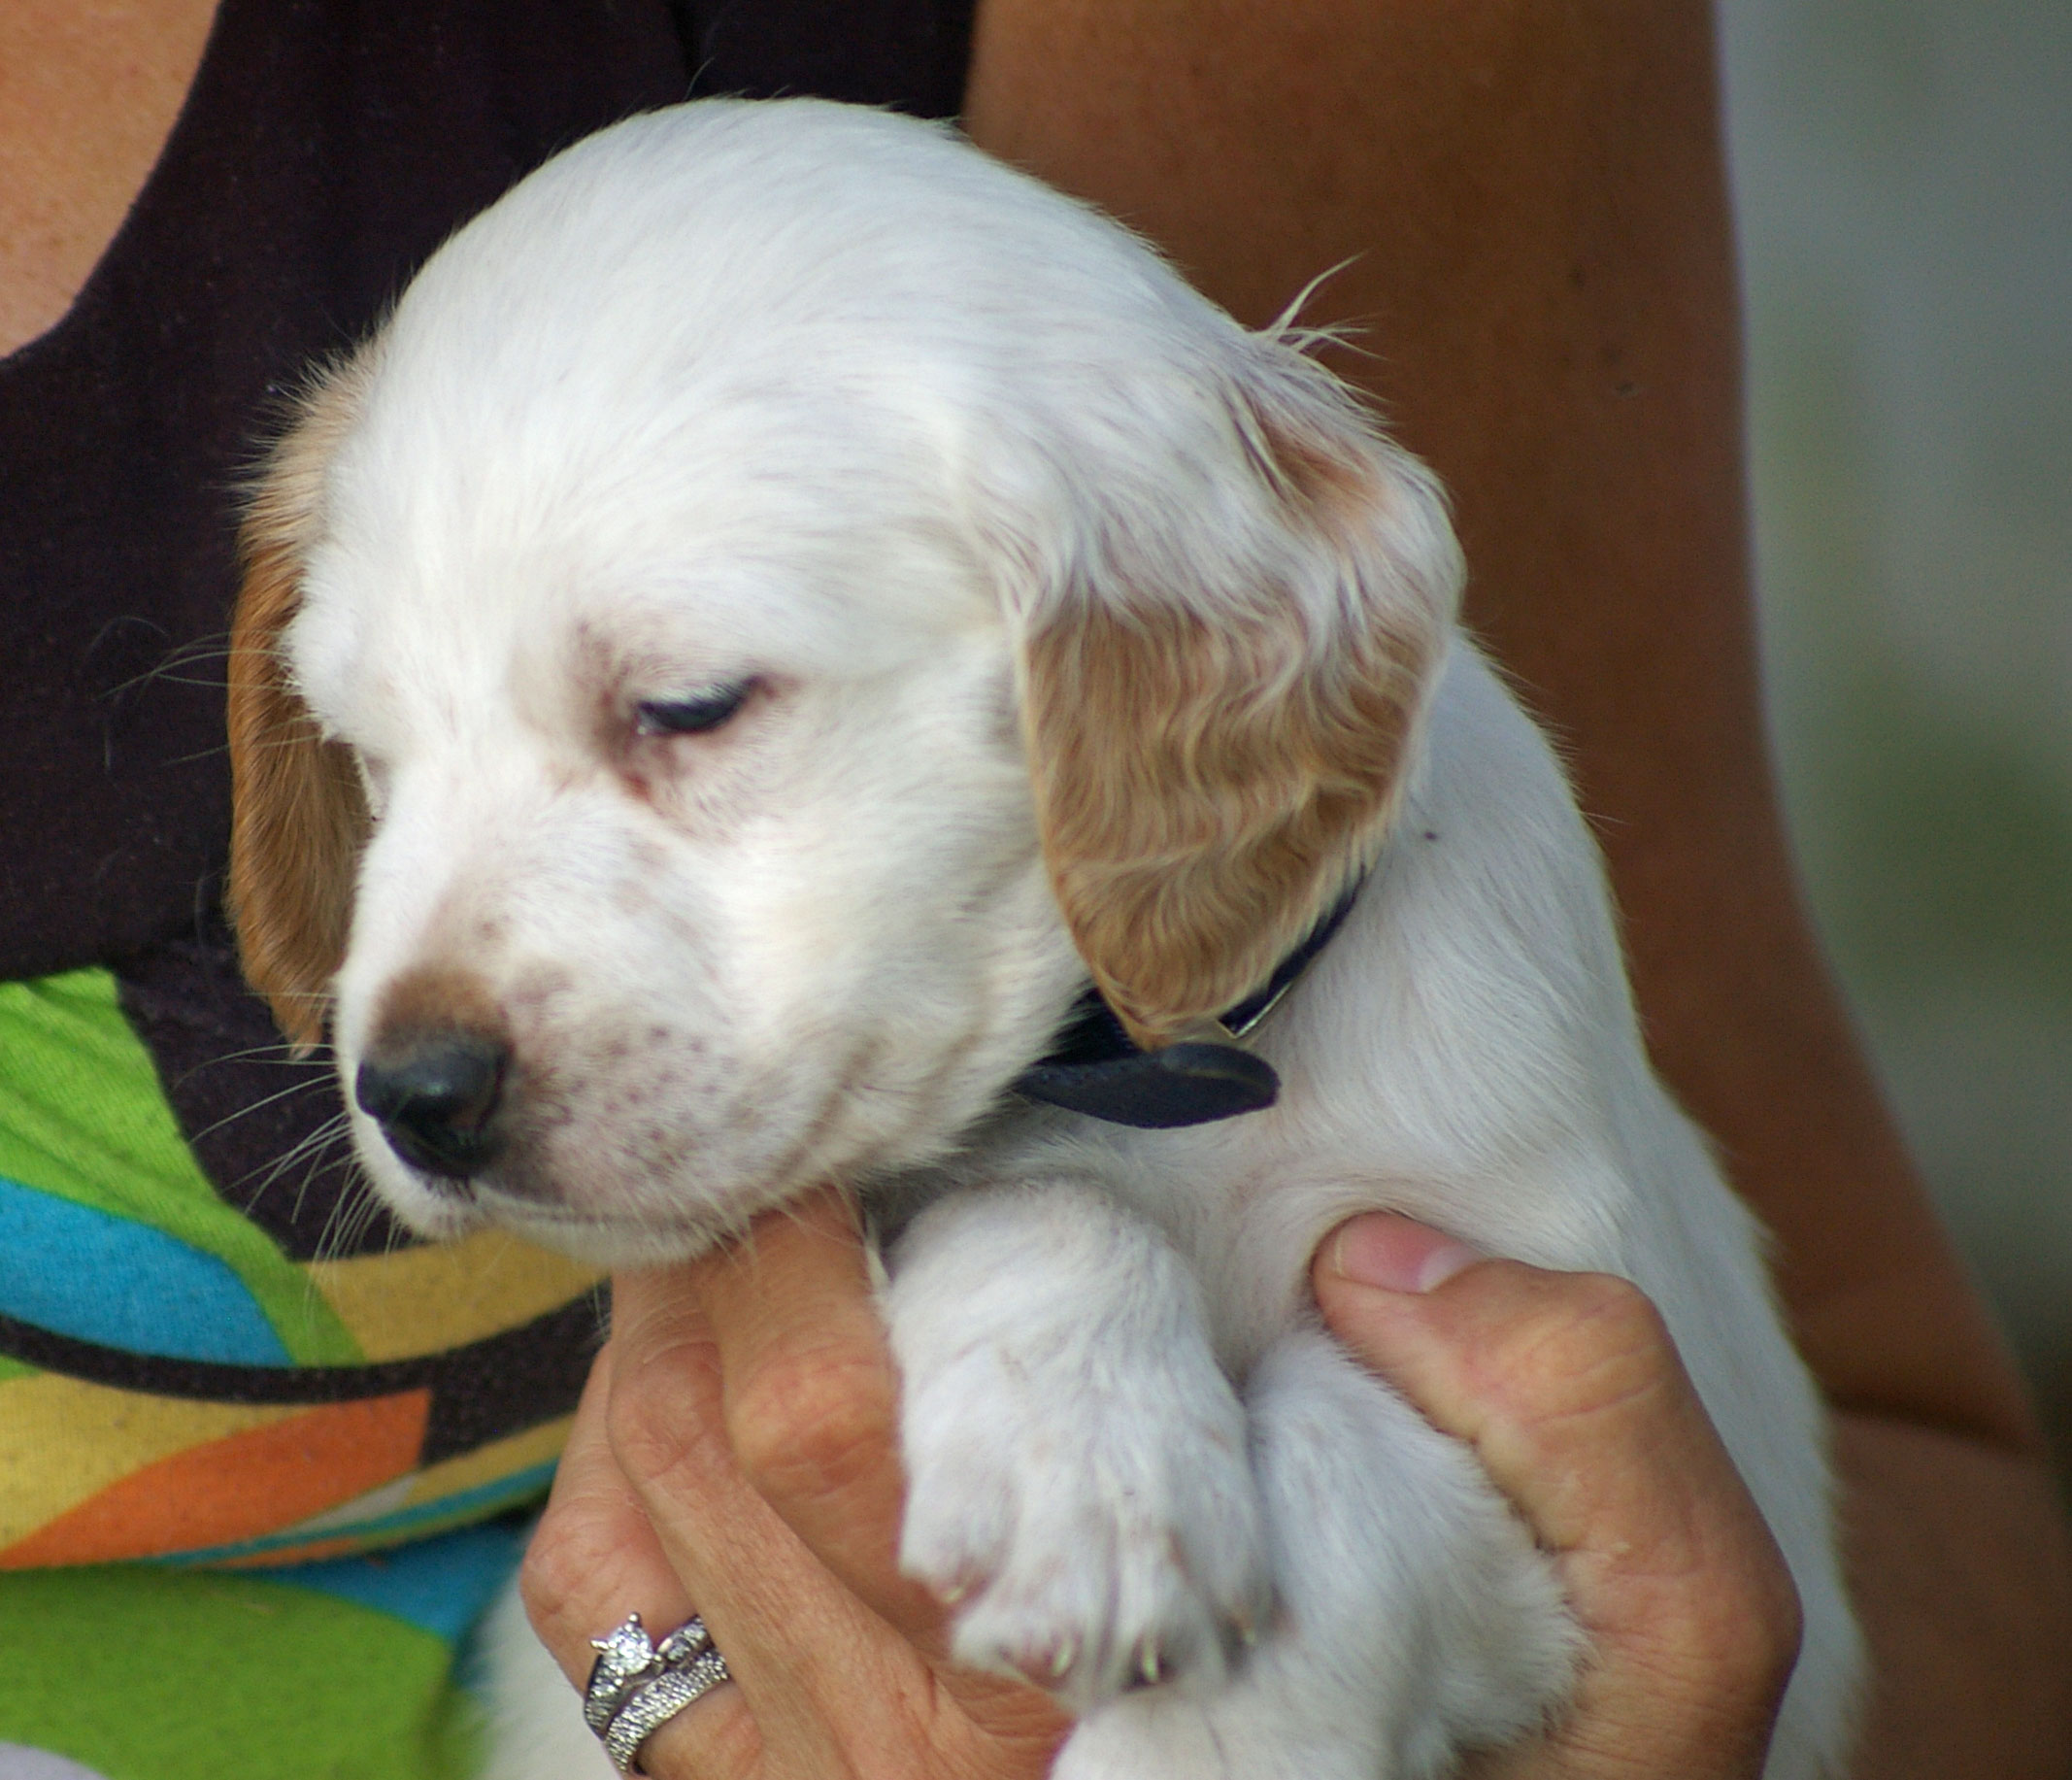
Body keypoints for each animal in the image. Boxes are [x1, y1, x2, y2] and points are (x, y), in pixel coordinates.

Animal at [226, 101, 1864, 1780]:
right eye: (369, 752)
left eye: (688, 705)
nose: (415, 1095)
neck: (1161, 1086)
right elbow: (1041, 1192)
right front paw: (1078, 1468)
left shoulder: (1578, 1353)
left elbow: (1355, 1456)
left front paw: (1206, 1726)